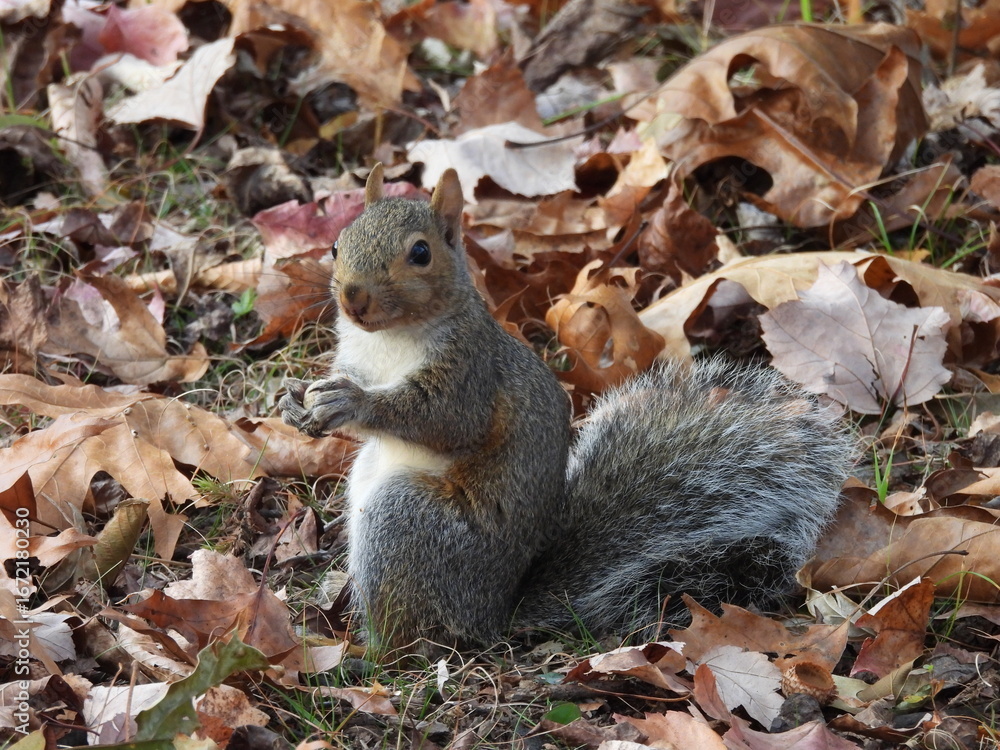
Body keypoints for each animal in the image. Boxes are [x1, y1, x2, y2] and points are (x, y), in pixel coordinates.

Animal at [279, 164, 854, 653]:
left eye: (420, 253)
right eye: (336, 245)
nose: (352, 298)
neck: (389, 339)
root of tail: (492, 615)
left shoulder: (470, 372)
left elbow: (444, 420)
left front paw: (350, 402)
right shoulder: (356, 356)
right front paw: (294, 401)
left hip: (408, 522)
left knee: (410, 639)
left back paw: (366, 654)